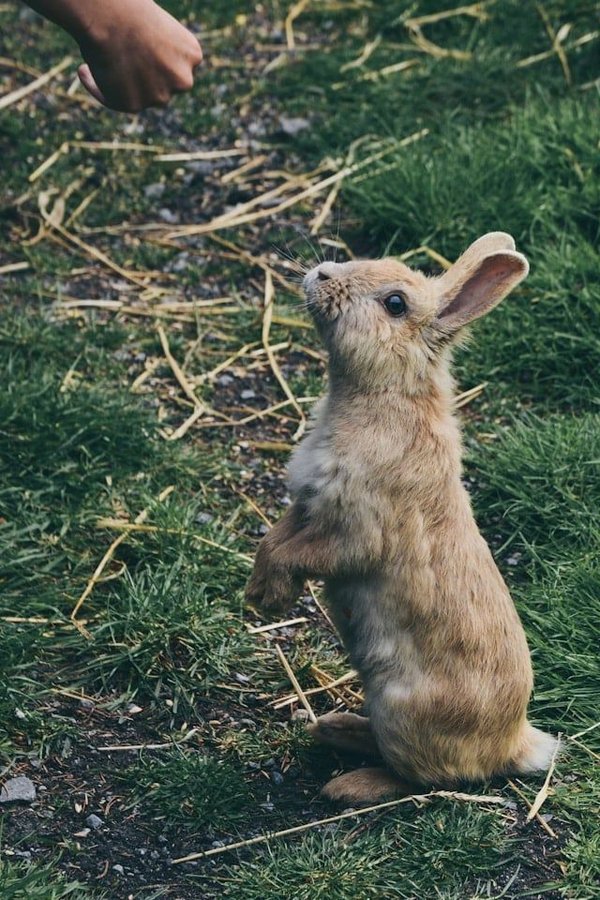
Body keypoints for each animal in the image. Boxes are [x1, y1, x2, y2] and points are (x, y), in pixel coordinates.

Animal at [245, 232, 558, 805]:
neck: (382, 395)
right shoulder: (306, 505)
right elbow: (273, 540)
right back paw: (333, 728)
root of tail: (515, 743)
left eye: (395, 304)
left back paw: (347, 784)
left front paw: (271, 598)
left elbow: (300, 553)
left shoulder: (354, 531)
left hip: (401, 711)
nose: (322, 273)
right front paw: (259, 593)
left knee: (422, 777)